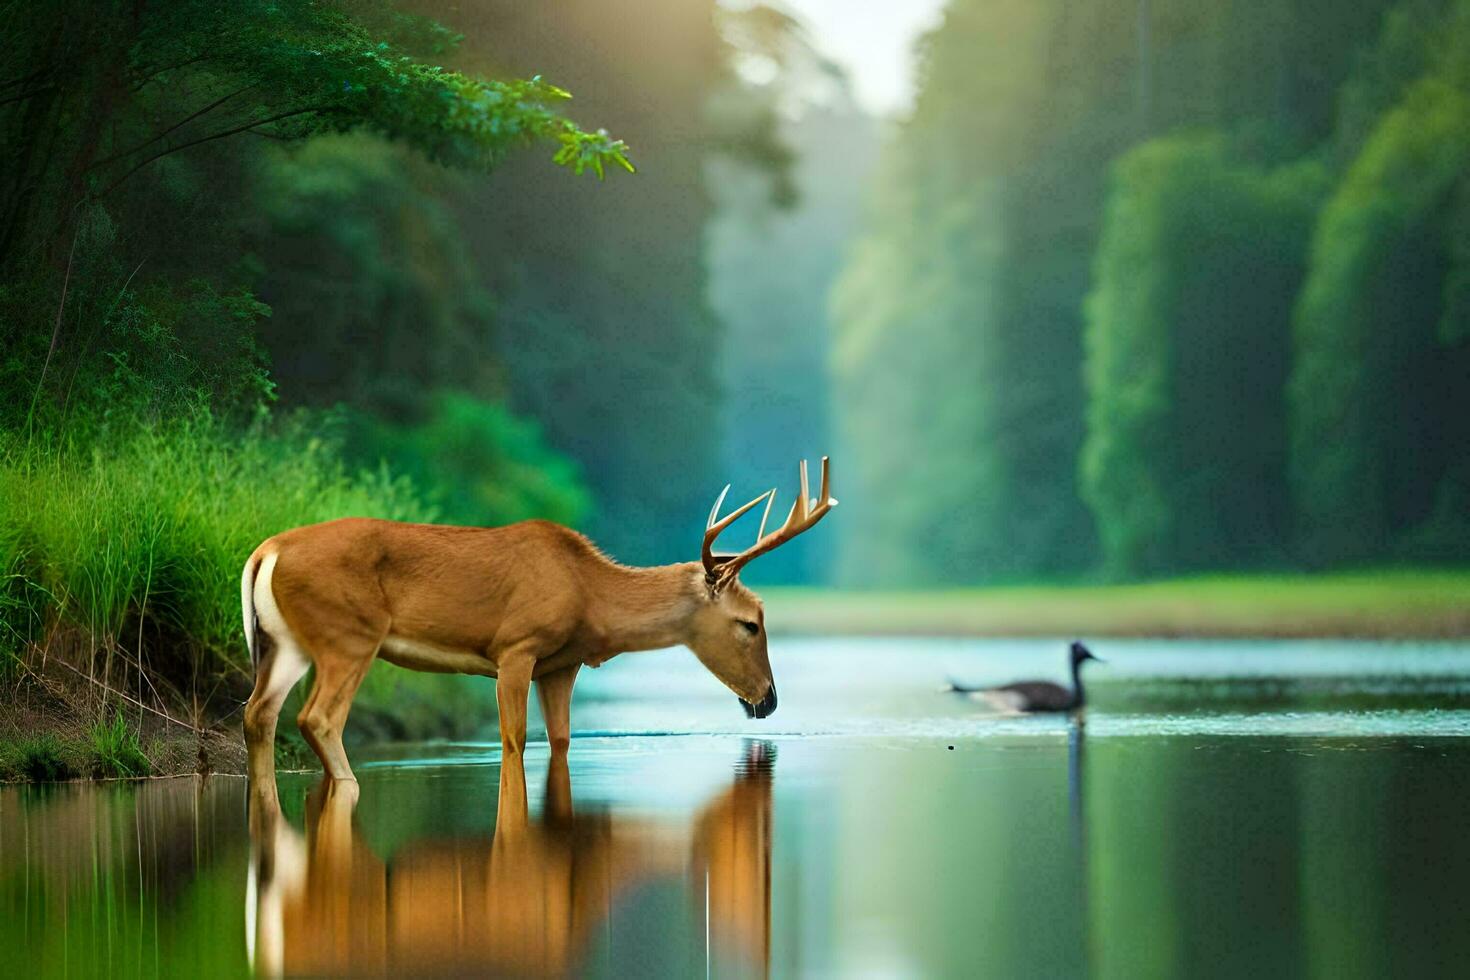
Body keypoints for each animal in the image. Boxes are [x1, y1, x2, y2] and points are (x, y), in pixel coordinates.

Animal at [242, 455, 840, 811]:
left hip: (287, 645)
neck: (590, 590)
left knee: (259, 714)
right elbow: (513, 740)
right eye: (751, 622)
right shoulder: (516, 647)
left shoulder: (560, 666)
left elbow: (560, 741)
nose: (768, 699)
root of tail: (265, 551)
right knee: (317, 718)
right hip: (348, 637)